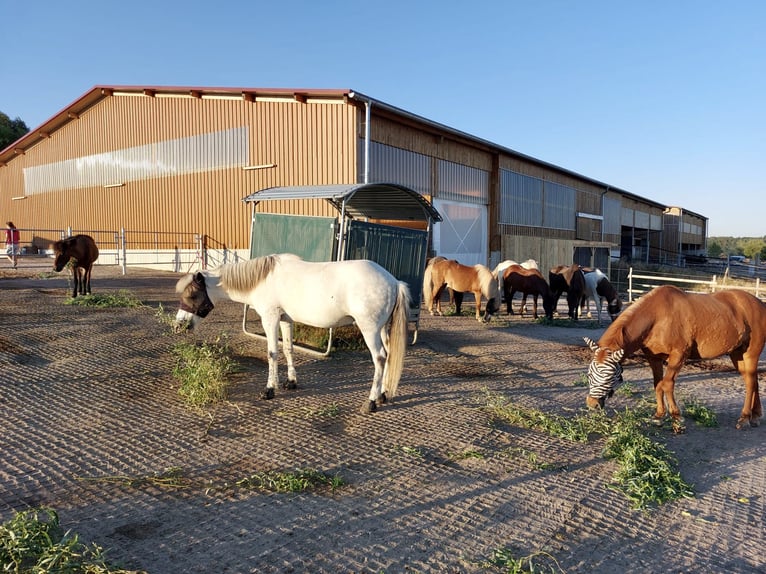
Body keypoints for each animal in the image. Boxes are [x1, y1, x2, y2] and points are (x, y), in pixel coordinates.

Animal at [176, 254, 414, 416]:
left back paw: (371, 402)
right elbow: (288, 349)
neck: (263, 280)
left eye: (193, 295)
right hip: (382, 328)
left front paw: (269, 389)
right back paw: (383, 395)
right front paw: (290, 382)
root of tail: (394, 282)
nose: (179, 325)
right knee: (389, 355)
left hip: (369, 329)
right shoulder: (285, 320)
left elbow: (272, 353)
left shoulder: (270, 318)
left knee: (379, 358)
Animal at [584, 286, 764, 430]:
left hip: (751, 354)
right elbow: (658, 385)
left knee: (750, 383)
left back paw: (744, 417)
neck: (657, 317)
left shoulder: (678, 356)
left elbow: (667, 384)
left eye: (609, 376)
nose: (591, 404)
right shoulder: (653, 358)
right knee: (753, 380)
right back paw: (755, 416)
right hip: (737, 354)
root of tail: (759, 303)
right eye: (589, 374)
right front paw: (659, 415)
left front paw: (676, 417)